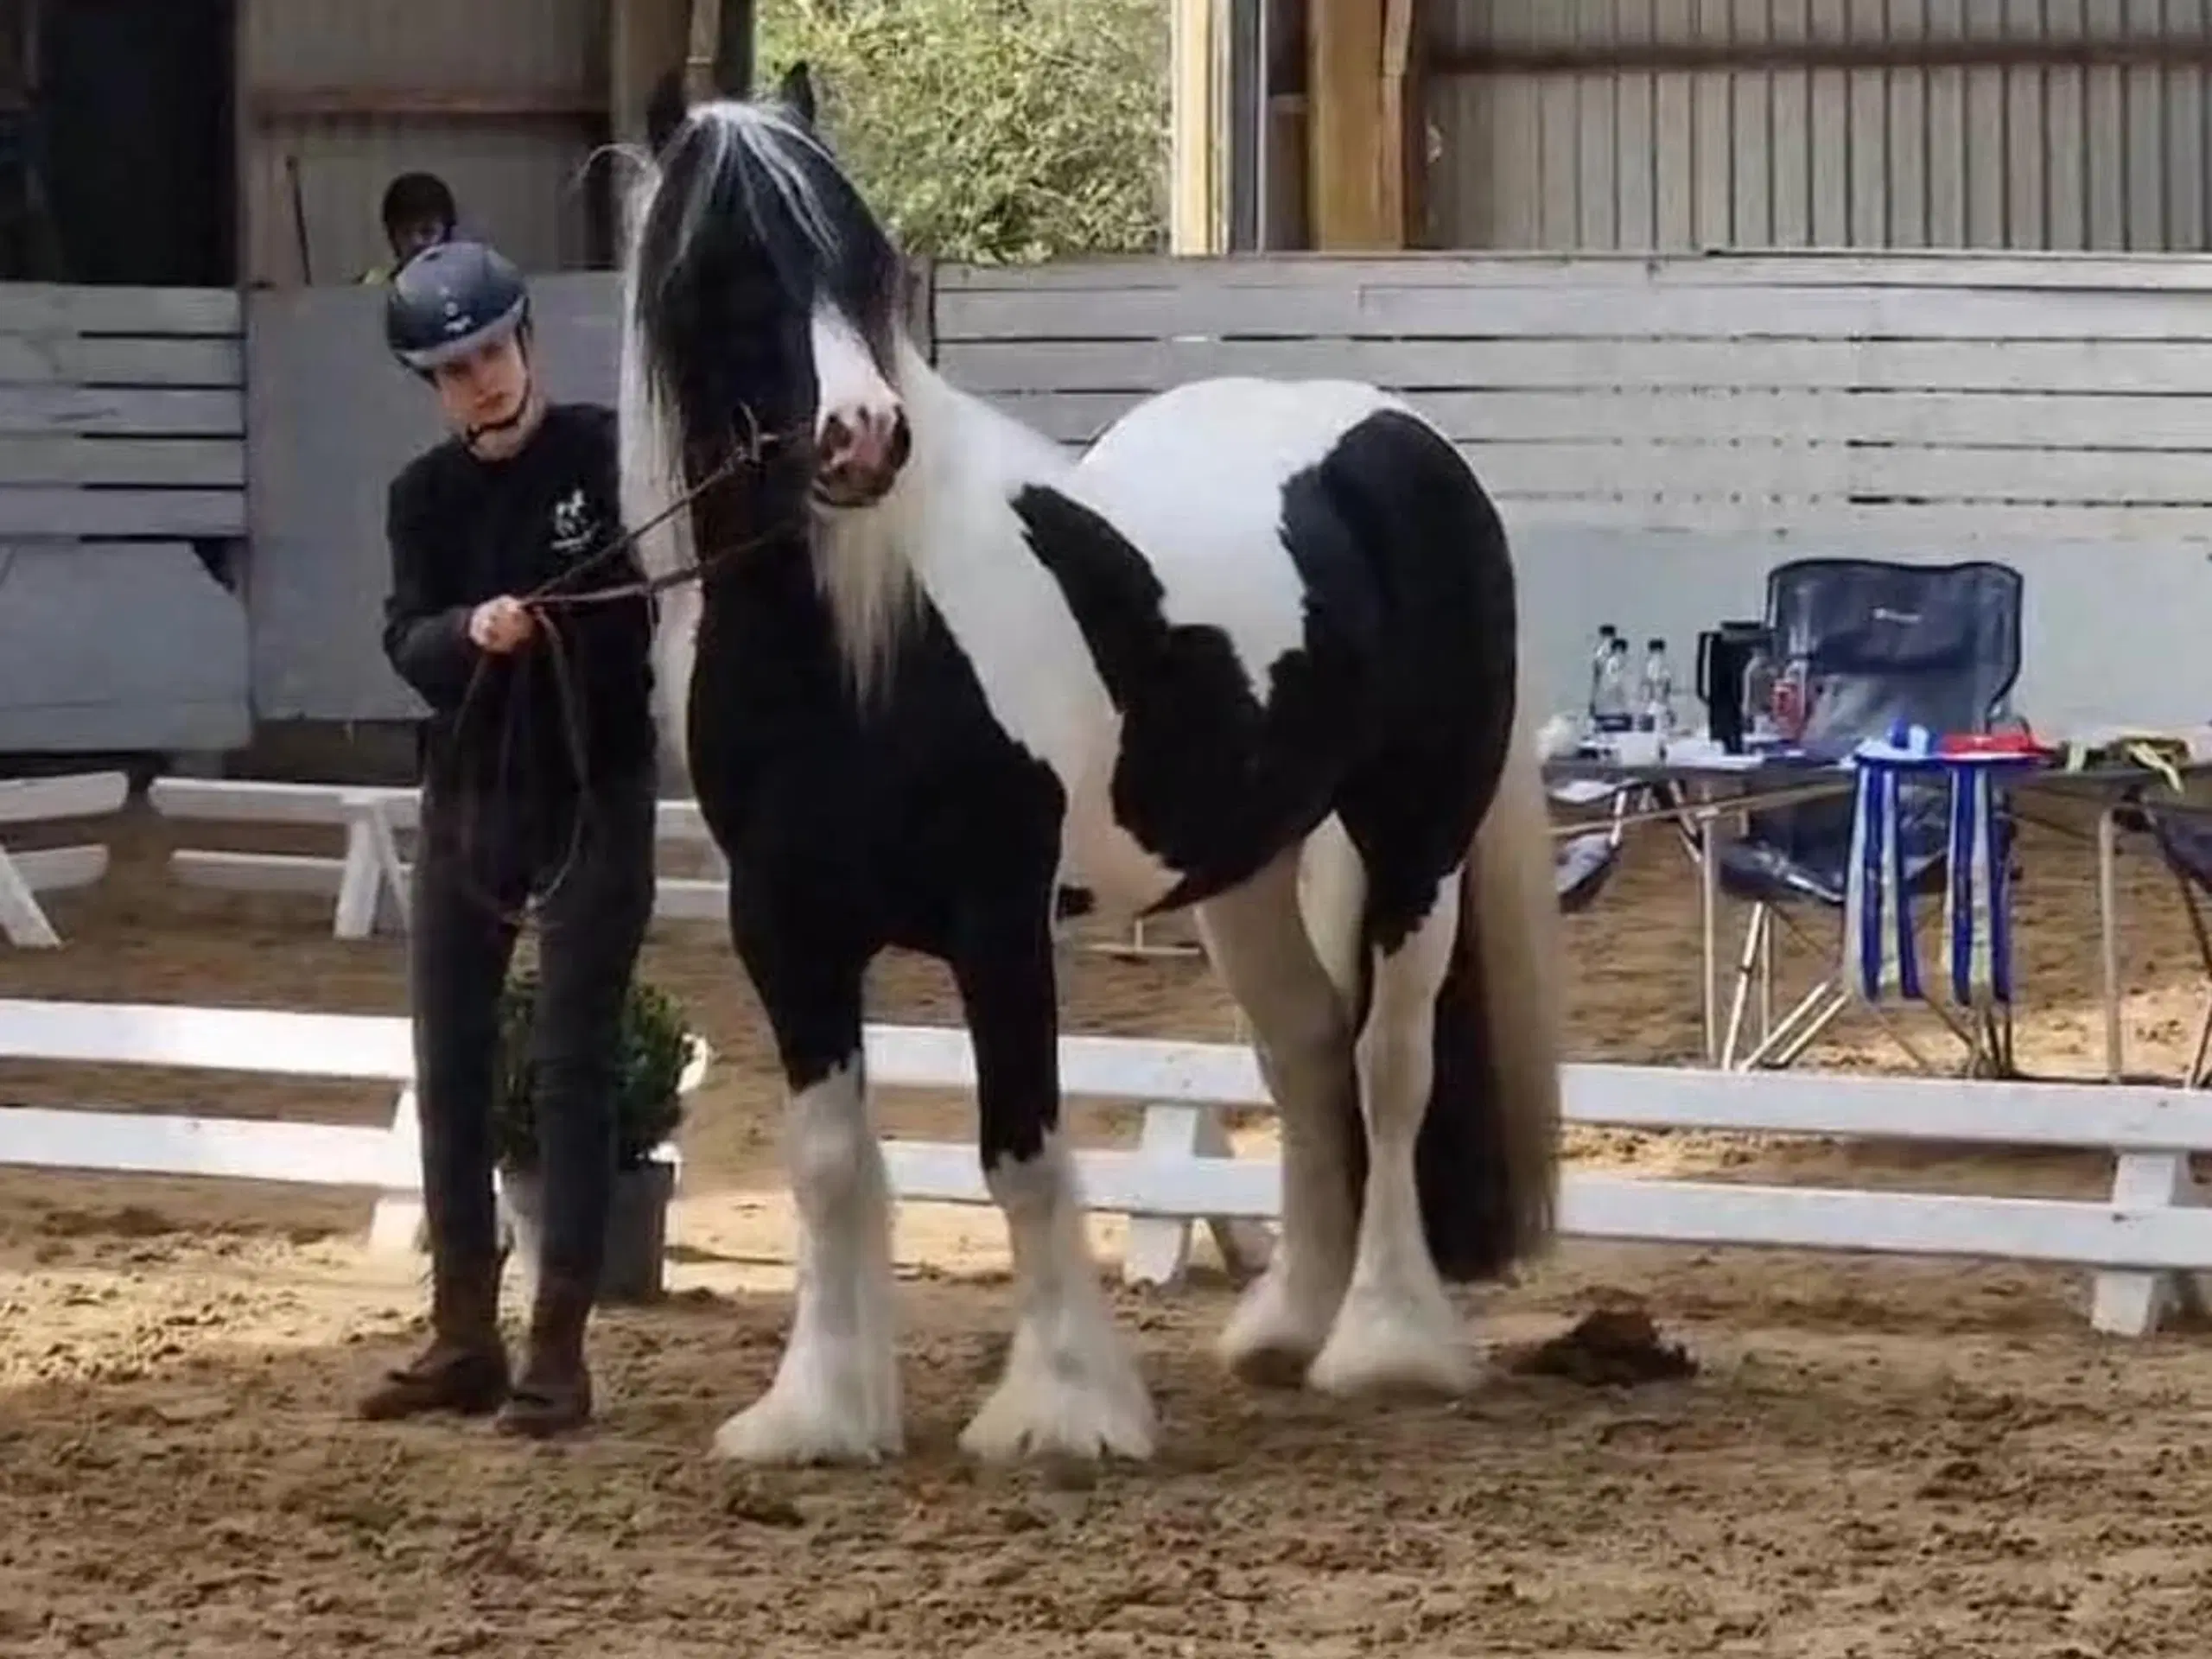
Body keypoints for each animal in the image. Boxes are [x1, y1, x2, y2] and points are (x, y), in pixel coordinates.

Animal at [614, 65, 1566, 1468]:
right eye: (725, 266)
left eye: (856, 259)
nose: (863, 440)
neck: (863, 641)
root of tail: (1402, 439)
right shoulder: (783, 930)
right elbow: (827, 1162)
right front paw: (819, 1414)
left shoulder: (998, 920)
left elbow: (1023, 1153)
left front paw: (1062, 1411)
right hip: (1247, 871)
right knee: (1306, 1056)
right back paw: (1288, 1325)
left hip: (1413, 843)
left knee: (1389, 1068)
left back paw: (1383, 1345)